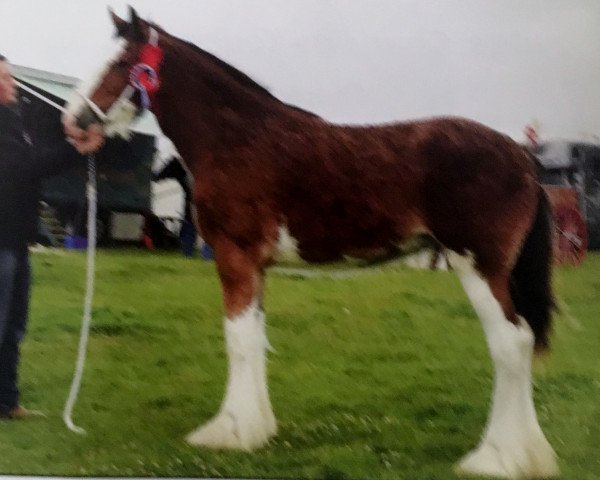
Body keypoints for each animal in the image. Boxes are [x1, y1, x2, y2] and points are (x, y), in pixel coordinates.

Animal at [64, 8, 556, 480]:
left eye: (123, 63)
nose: (73, 122)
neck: (237, 140)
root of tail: (522, 157)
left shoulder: (234, 256)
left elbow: (237, 341)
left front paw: (230, 432)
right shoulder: (256, 267)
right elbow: (255, 338)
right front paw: (258, 427)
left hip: (478, 266)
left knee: (510, 344)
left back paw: (497, 458)